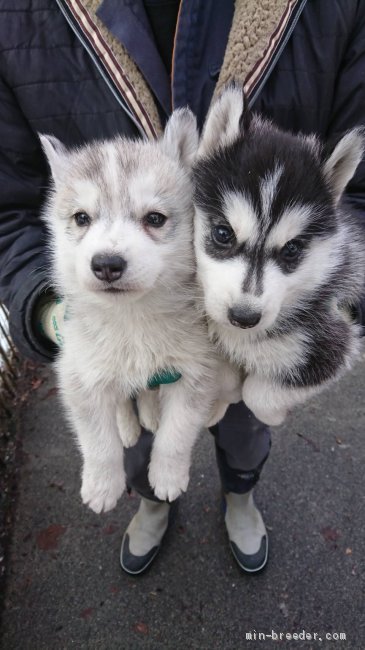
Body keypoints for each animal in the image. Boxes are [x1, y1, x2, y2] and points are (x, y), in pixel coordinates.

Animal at [40, 109, 239, 508]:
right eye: (82, 218)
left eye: (155, 218)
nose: (107, 264)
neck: (132, 320)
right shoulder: (77, 371)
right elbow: (97, 440)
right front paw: (102, 485)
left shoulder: (197, 371)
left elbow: (176, 435)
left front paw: (167, 476)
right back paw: (128, 426)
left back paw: (148, 416)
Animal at [193, 88, 364, 428]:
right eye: (223, 233)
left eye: (292, 250)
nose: (244, 317)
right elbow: (226, 377)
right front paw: (219, 400)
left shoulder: (331, 340)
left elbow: (257, 394)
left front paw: (270, 412)